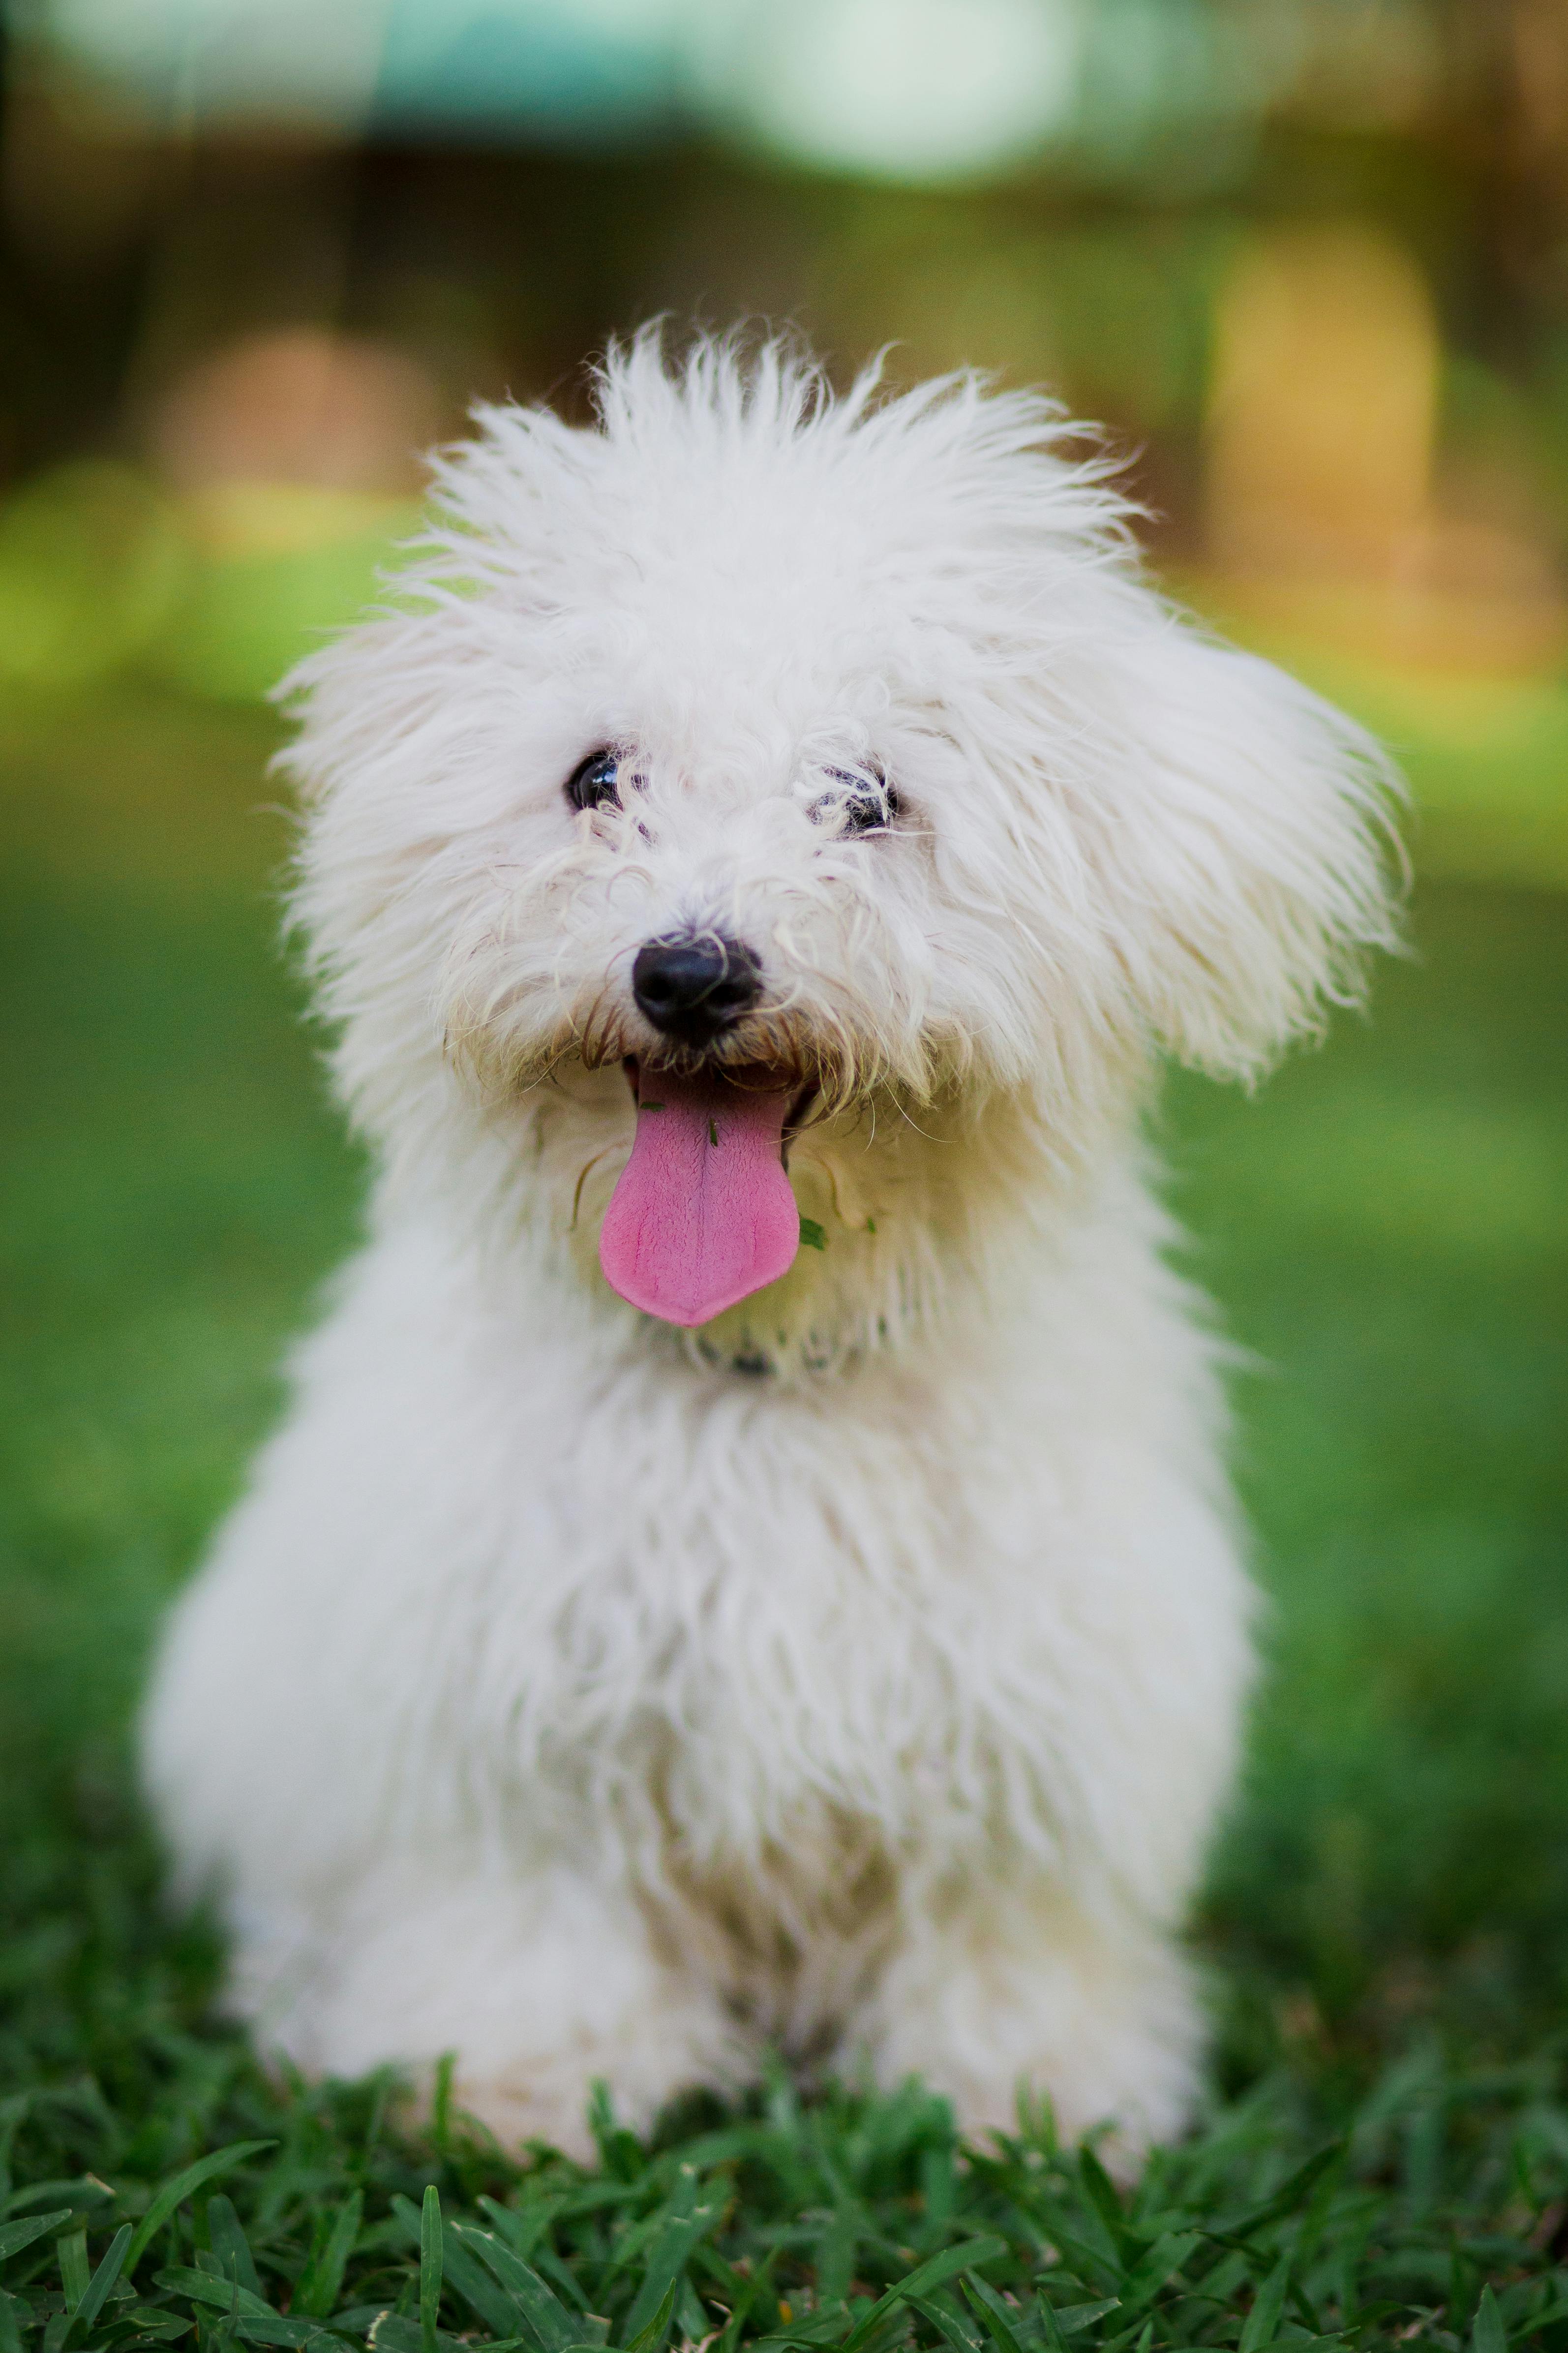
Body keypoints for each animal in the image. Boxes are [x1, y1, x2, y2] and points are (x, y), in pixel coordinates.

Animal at [144, 336, 1401, 2165]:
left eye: (867, 799)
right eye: (598, 778)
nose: (688, 971)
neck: (757, 1365)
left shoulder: (1027, 1716)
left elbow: (997, 1928)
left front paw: (1025, 2098)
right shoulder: (505, 1711)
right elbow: (528, 1914)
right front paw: (509, 2082)